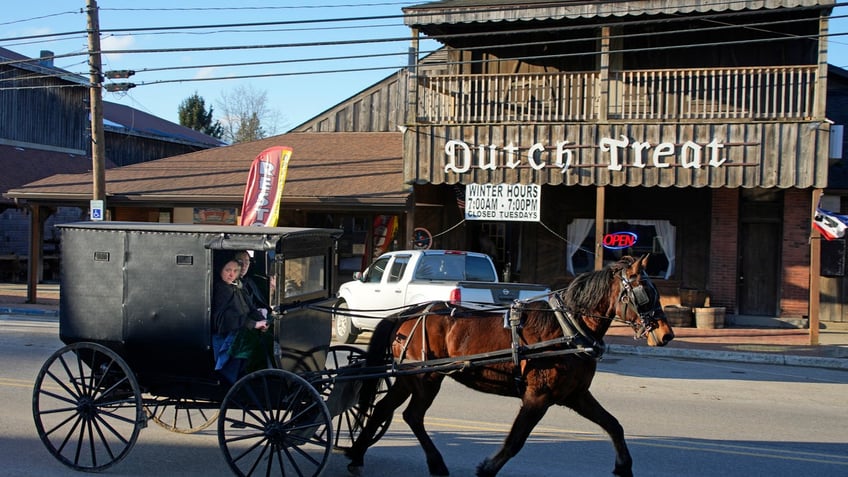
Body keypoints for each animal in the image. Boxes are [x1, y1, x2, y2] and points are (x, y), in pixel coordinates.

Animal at [344, 256, 676, 476]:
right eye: (644, 294)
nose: (667, 334)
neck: (567, 327)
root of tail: (407, 313)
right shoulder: (537, 397)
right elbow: (516, 439)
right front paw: (487, 468)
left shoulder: (576, 395)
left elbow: (614, 425)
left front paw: (624, 467)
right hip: (427, 379)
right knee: (412, 415)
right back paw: (433, 463)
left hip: (408, 378)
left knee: (383, 409)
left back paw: (358, 455)